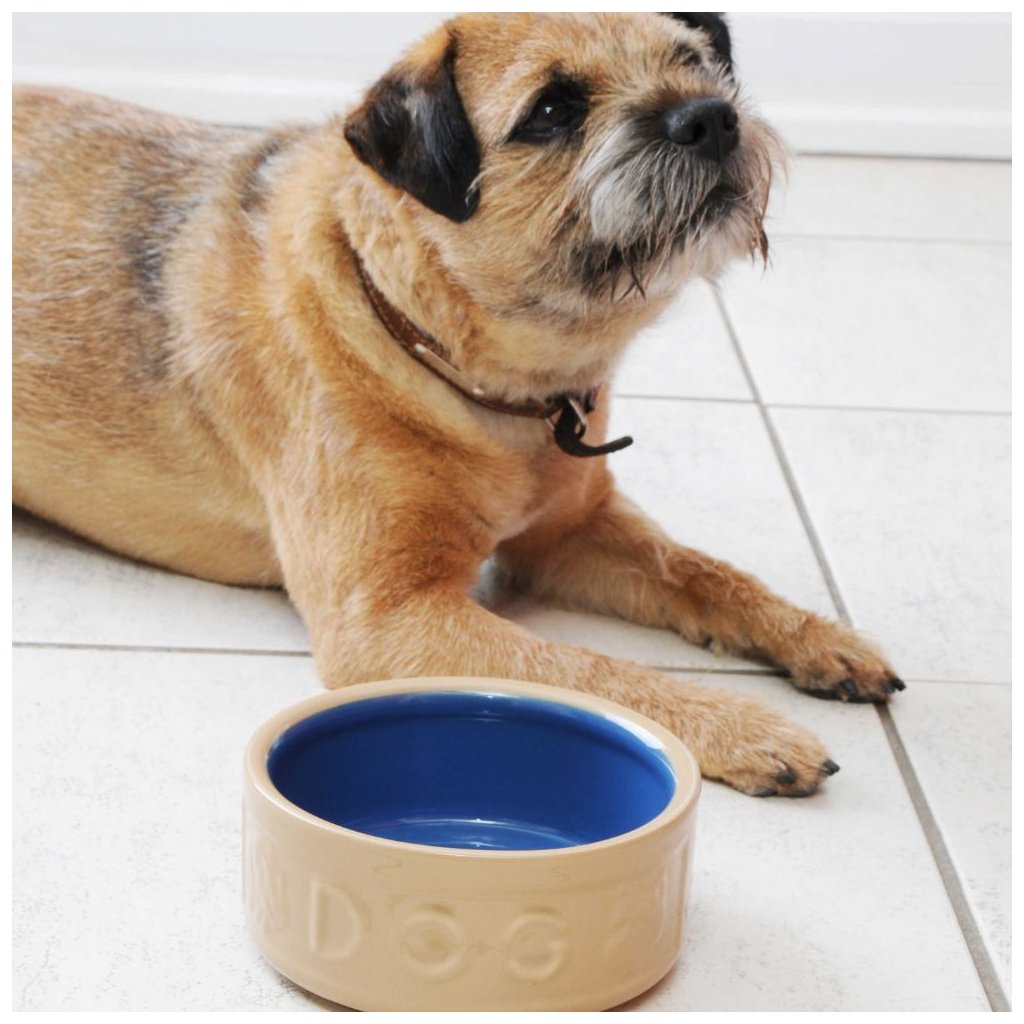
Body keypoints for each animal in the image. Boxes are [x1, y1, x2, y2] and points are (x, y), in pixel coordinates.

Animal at [13, 12, 902, 797]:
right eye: (553, 110)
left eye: (696, 63)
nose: (713, 117)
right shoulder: (389, 620)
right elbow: (589, 671)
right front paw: (743, 727)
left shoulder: (573, 534)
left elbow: (705, 572)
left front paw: (820, 637)